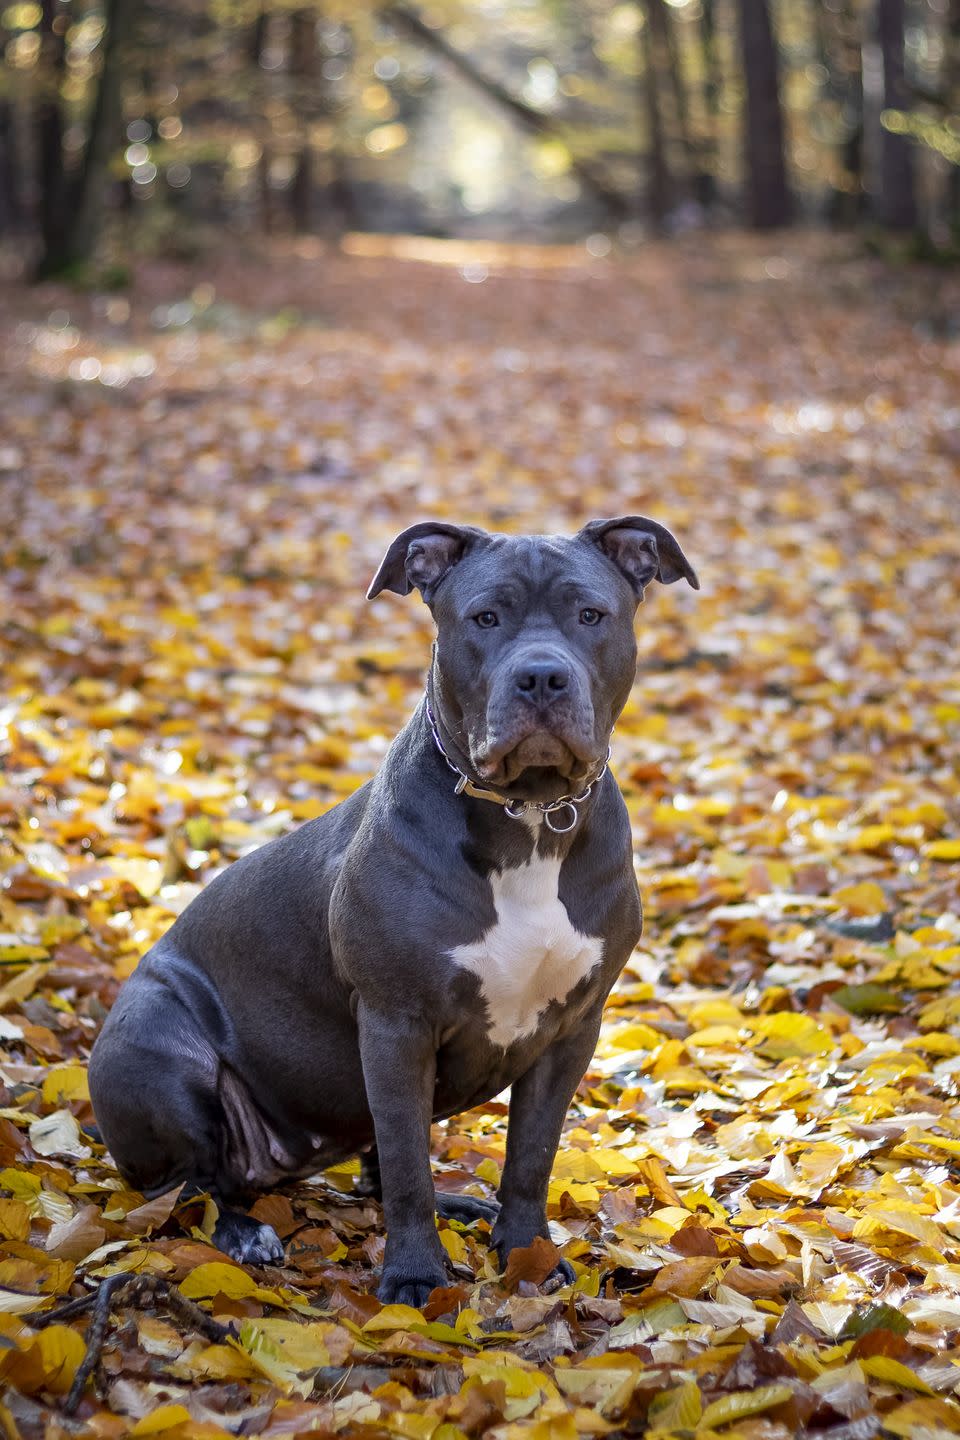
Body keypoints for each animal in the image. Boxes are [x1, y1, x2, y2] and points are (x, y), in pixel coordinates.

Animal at [88, 515, 699, 1307]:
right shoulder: (395, 1023)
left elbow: (530, 1155)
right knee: (194, 1186)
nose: (541, 676)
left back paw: (460, 1206)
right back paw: (245, 1232)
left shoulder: (571, 1029)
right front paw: (414, 1276)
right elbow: (409, 1164)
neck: (528, 815)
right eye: (485, 618)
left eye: (590, 615)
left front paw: (526, 1256)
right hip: (157, 1047)